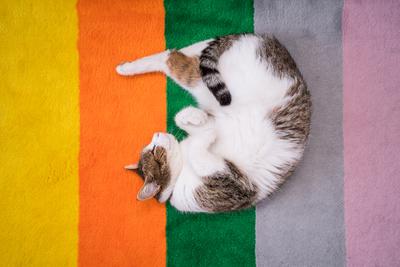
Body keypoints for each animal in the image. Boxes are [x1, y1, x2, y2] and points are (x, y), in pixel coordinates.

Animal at [116, 34, 312, 214]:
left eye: (153, 148)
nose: (156, 134)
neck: (182, 171)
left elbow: (184, 121)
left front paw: (193, 116)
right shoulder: (230, 182)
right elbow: (200, 146)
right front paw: (202, 124)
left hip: (215, 84)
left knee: (174, 55)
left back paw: (126, 68)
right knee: (174, 58)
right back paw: (126, 68)